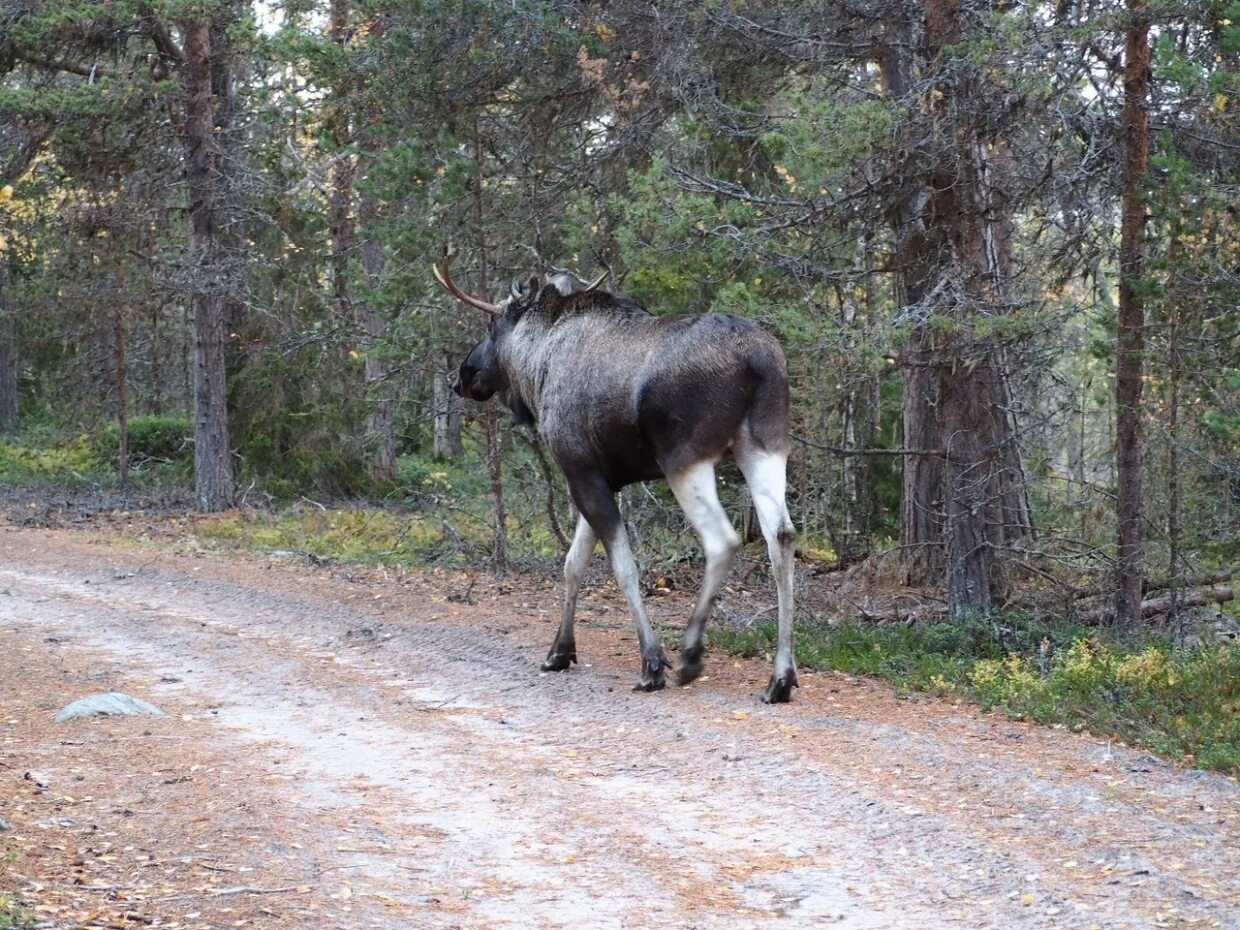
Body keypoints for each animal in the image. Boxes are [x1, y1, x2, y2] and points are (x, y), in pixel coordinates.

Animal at [436, 255, 798, 704]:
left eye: (491, 324)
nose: (462, 376)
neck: (535, 369)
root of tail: (758, 361)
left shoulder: (579, 469)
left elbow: (621, 566)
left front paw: (651, 663)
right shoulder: (601, 478)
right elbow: (573, 564)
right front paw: (559, 651)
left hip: (684, 457)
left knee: (724, 540)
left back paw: (691, 653)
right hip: (764, 444)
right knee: (781, 535)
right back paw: (780, 677)